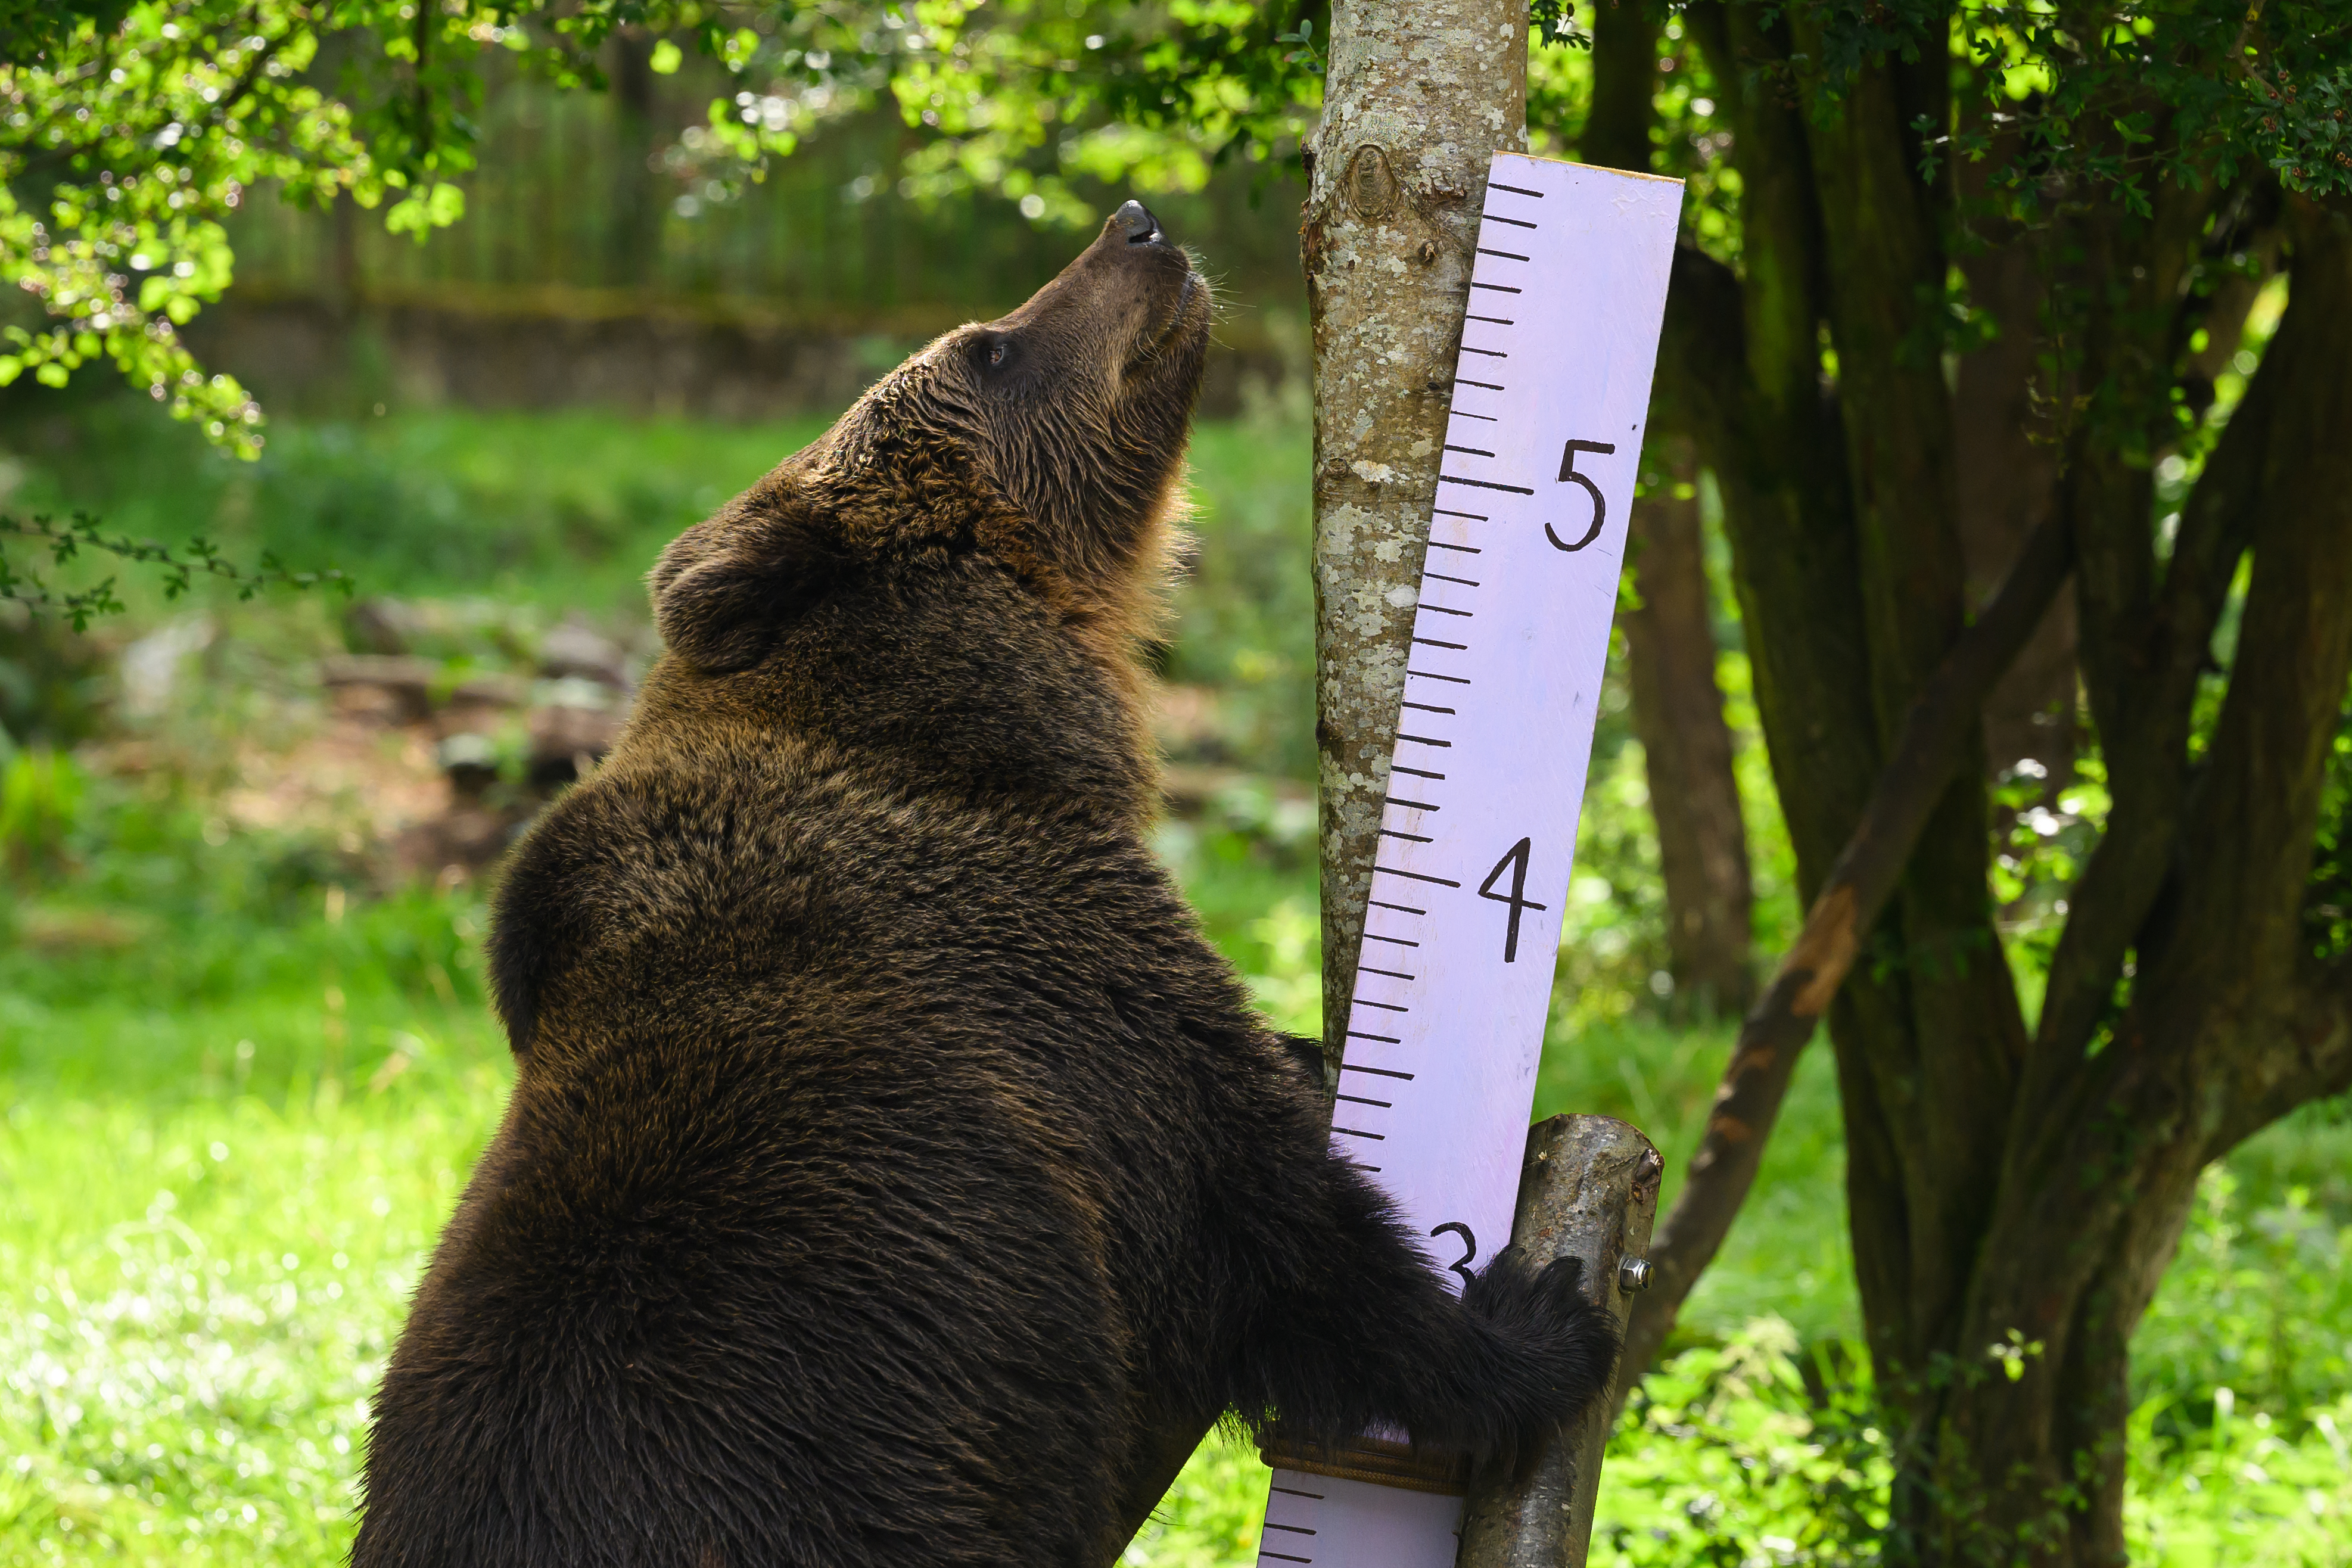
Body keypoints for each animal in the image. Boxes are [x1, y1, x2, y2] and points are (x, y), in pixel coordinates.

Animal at [357, 202, 1618, 1561]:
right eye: (991, 348)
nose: (1138, 224)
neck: (975, 728)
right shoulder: (1072, 1000)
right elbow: (1289, 1233)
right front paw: (1537, 1320)